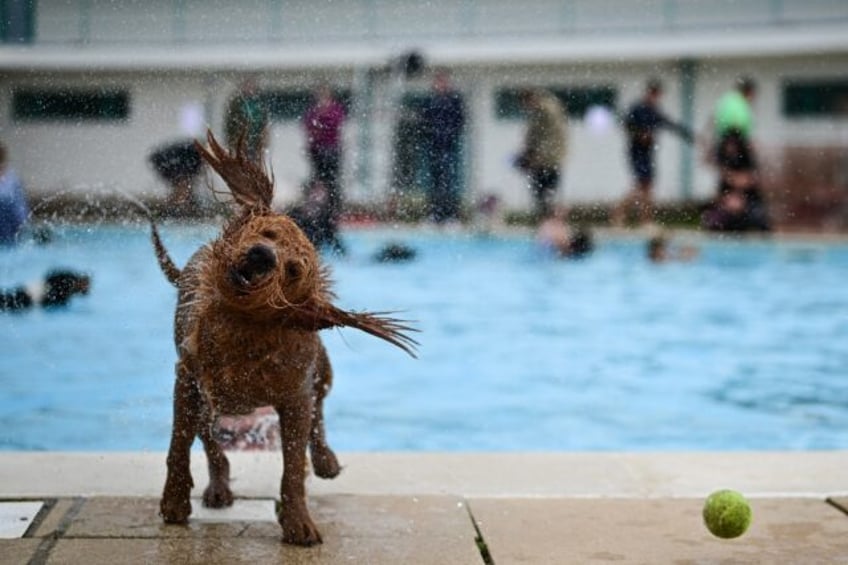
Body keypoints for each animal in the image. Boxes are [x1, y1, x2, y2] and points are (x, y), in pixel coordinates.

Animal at [153, 130, 420, 544]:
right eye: (268, 233)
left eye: (293, 270)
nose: (262, 256)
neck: (244, 337)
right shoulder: (188, 380)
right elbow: (180, 443)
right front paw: (175, 501)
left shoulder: (294, 397)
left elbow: (294, 465)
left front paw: (298, 522)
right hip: (208, 396)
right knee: (209, 438)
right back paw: (219, 486)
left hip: (321, 372)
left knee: (319, 413)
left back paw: (325, 460)